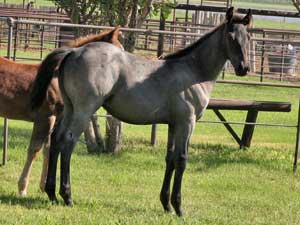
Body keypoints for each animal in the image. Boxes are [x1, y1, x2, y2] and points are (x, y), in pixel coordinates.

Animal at [0, 26, 122, 196]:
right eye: (119, 52)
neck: (56, 78)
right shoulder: (45, 118)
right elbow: (34, 150)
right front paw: (22, 188)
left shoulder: (56, 120)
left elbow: (48, 149)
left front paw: (43, 187)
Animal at [30, 7, 252, 216]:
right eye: (231, 37)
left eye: (249, 37)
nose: (244, 68)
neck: (193, 70)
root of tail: (73, 52)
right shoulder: (187, 123)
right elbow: (181, 160)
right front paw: (179, 207)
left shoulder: (173, 124)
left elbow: (170, 159)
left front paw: (166, 205)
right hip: (84, 111)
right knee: (67, 143)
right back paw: (67, 196)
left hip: (70, 109)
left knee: (56, 140)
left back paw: (51, 193)